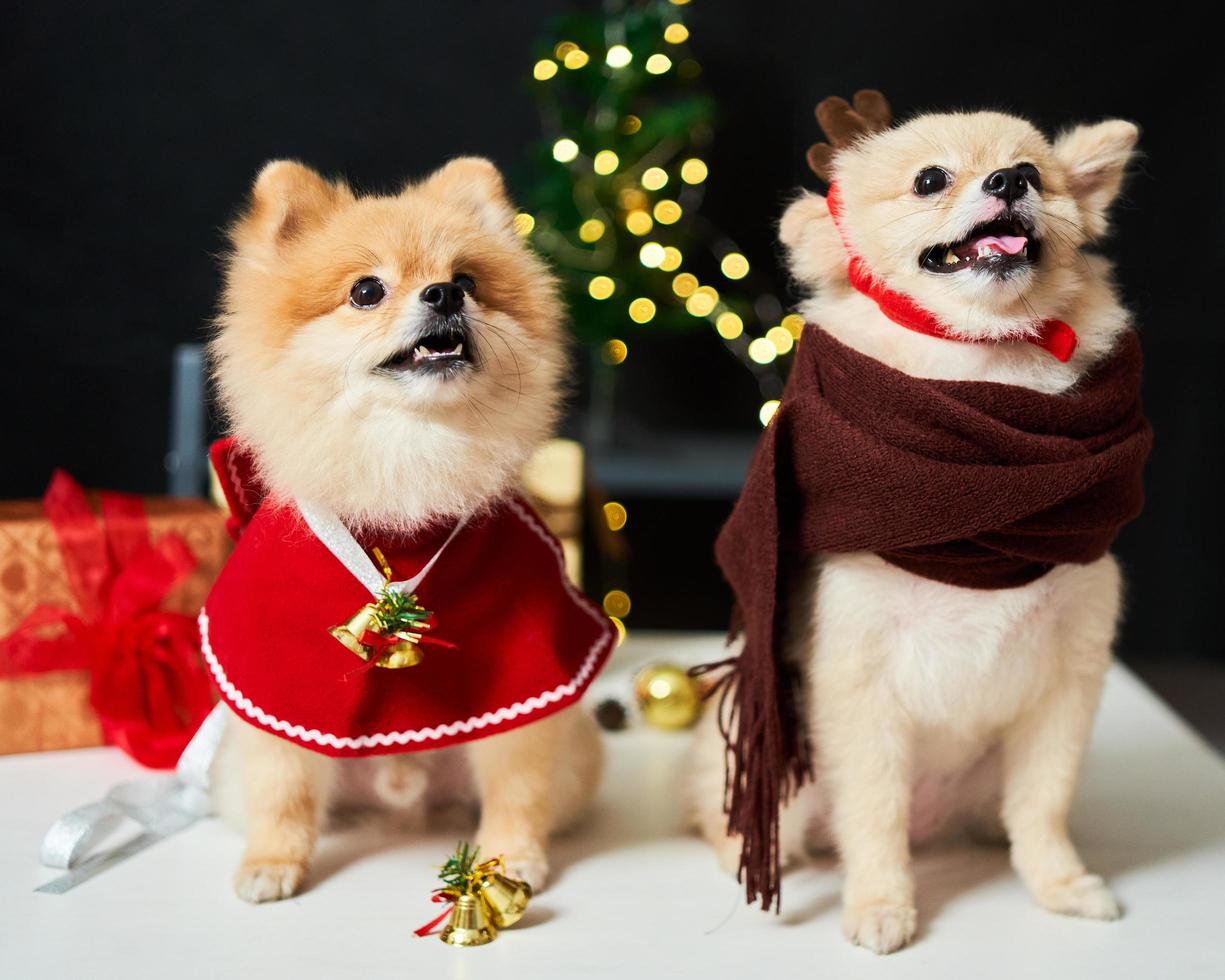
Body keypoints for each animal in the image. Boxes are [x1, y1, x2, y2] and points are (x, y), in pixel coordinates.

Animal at [208, 159, 605, 901]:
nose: (444, 293)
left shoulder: (522, 677)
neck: (407, 456)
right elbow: (282, 787)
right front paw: (272, 861)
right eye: (366, 290)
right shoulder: (274, 679)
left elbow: (516, 782)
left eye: (468, 279)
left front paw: (509, 857)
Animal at [695, 99, 1141, 950]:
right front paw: (879, 903)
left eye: (1032, 174)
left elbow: (1043, 805)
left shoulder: (1064, 684)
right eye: (929, 181)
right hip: (780, 760)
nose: (1006, 182)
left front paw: (1059, 885)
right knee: (743, 820)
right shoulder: (858, 689)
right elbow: (874, 817)